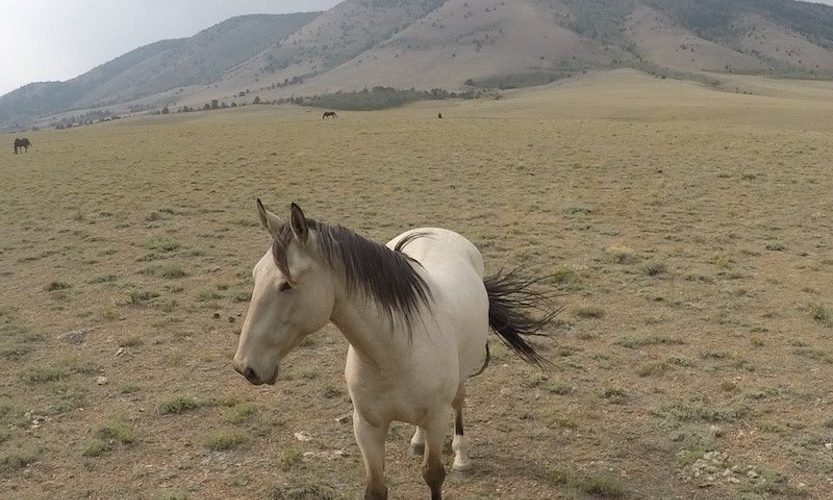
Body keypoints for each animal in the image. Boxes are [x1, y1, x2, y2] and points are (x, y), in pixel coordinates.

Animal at [234, 200, 556, 500]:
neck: (392, 353)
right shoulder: (366, 427)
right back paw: (416, 440)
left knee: (459, 405)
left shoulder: (437, 419)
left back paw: (462, 457)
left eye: (286, 285)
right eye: (255, 275)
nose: (244, 366)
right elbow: (376, 488)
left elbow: (433, 475)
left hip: (460, 382)